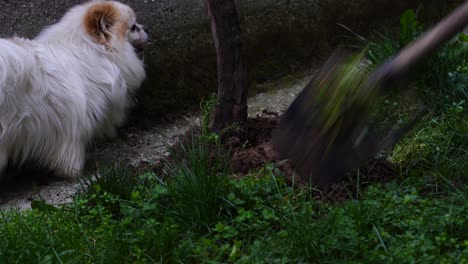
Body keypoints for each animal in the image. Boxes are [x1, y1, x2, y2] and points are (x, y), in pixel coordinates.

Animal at [0, 0, 147, 180]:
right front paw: (73, 171)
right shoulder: (74, 122)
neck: (90, 50)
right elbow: (72, 147)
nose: (146, 28)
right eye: (133, 27)